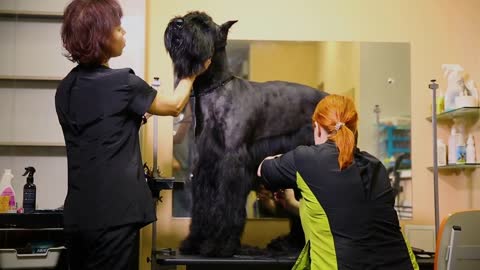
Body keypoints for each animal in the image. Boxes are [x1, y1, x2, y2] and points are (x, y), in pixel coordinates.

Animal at [164, 11, 326, 258]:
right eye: (187, 17)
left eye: (203, 24)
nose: (177, 24)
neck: (218, 89)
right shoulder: (207, 163)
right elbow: (204, 204)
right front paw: (195, 242)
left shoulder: (232, 162)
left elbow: (226, 204)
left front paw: (219, 245)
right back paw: (290, 244)